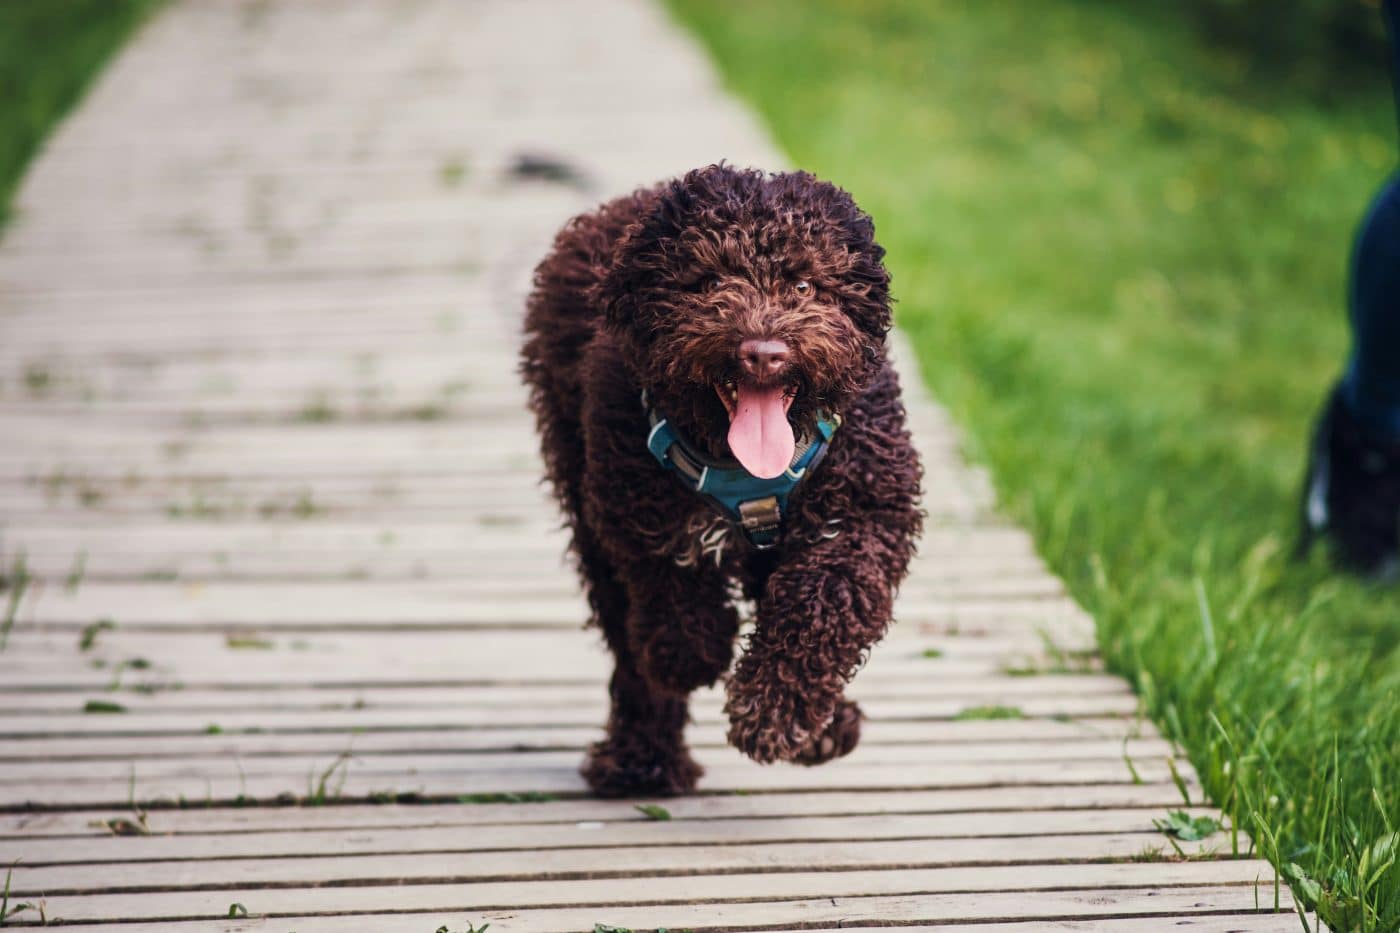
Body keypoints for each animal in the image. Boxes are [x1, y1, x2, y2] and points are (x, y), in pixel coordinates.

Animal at [520, 163, 924, 795]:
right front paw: (697, 652)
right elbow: (672, 587)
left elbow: (825, 601)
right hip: (583, 504)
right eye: (709, 281)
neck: (746, 470)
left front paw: (776, 714)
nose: (764, 353)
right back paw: (642, 760)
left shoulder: (862, 515)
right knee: (630, 648)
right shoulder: (632, 503)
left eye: (804, 285)